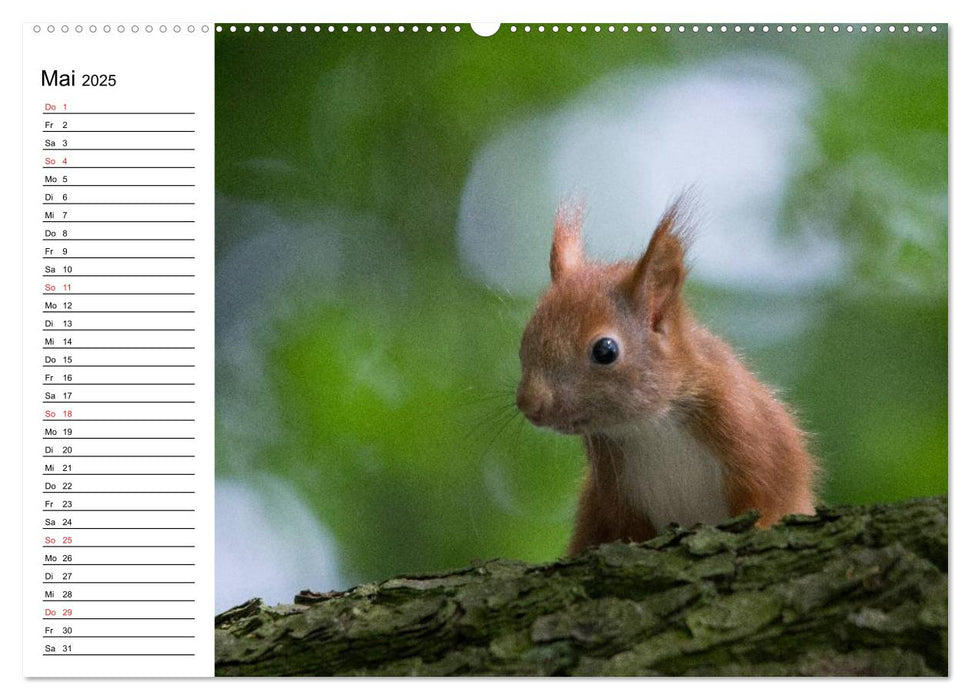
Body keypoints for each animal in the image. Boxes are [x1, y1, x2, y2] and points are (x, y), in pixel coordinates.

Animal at [516, 196, 820, 552]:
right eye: (525, 339)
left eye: (605, 350)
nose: (529, 403)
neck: (650, 425)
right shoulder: (618, 497)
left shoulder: (755, 438)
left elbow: (769, 501)